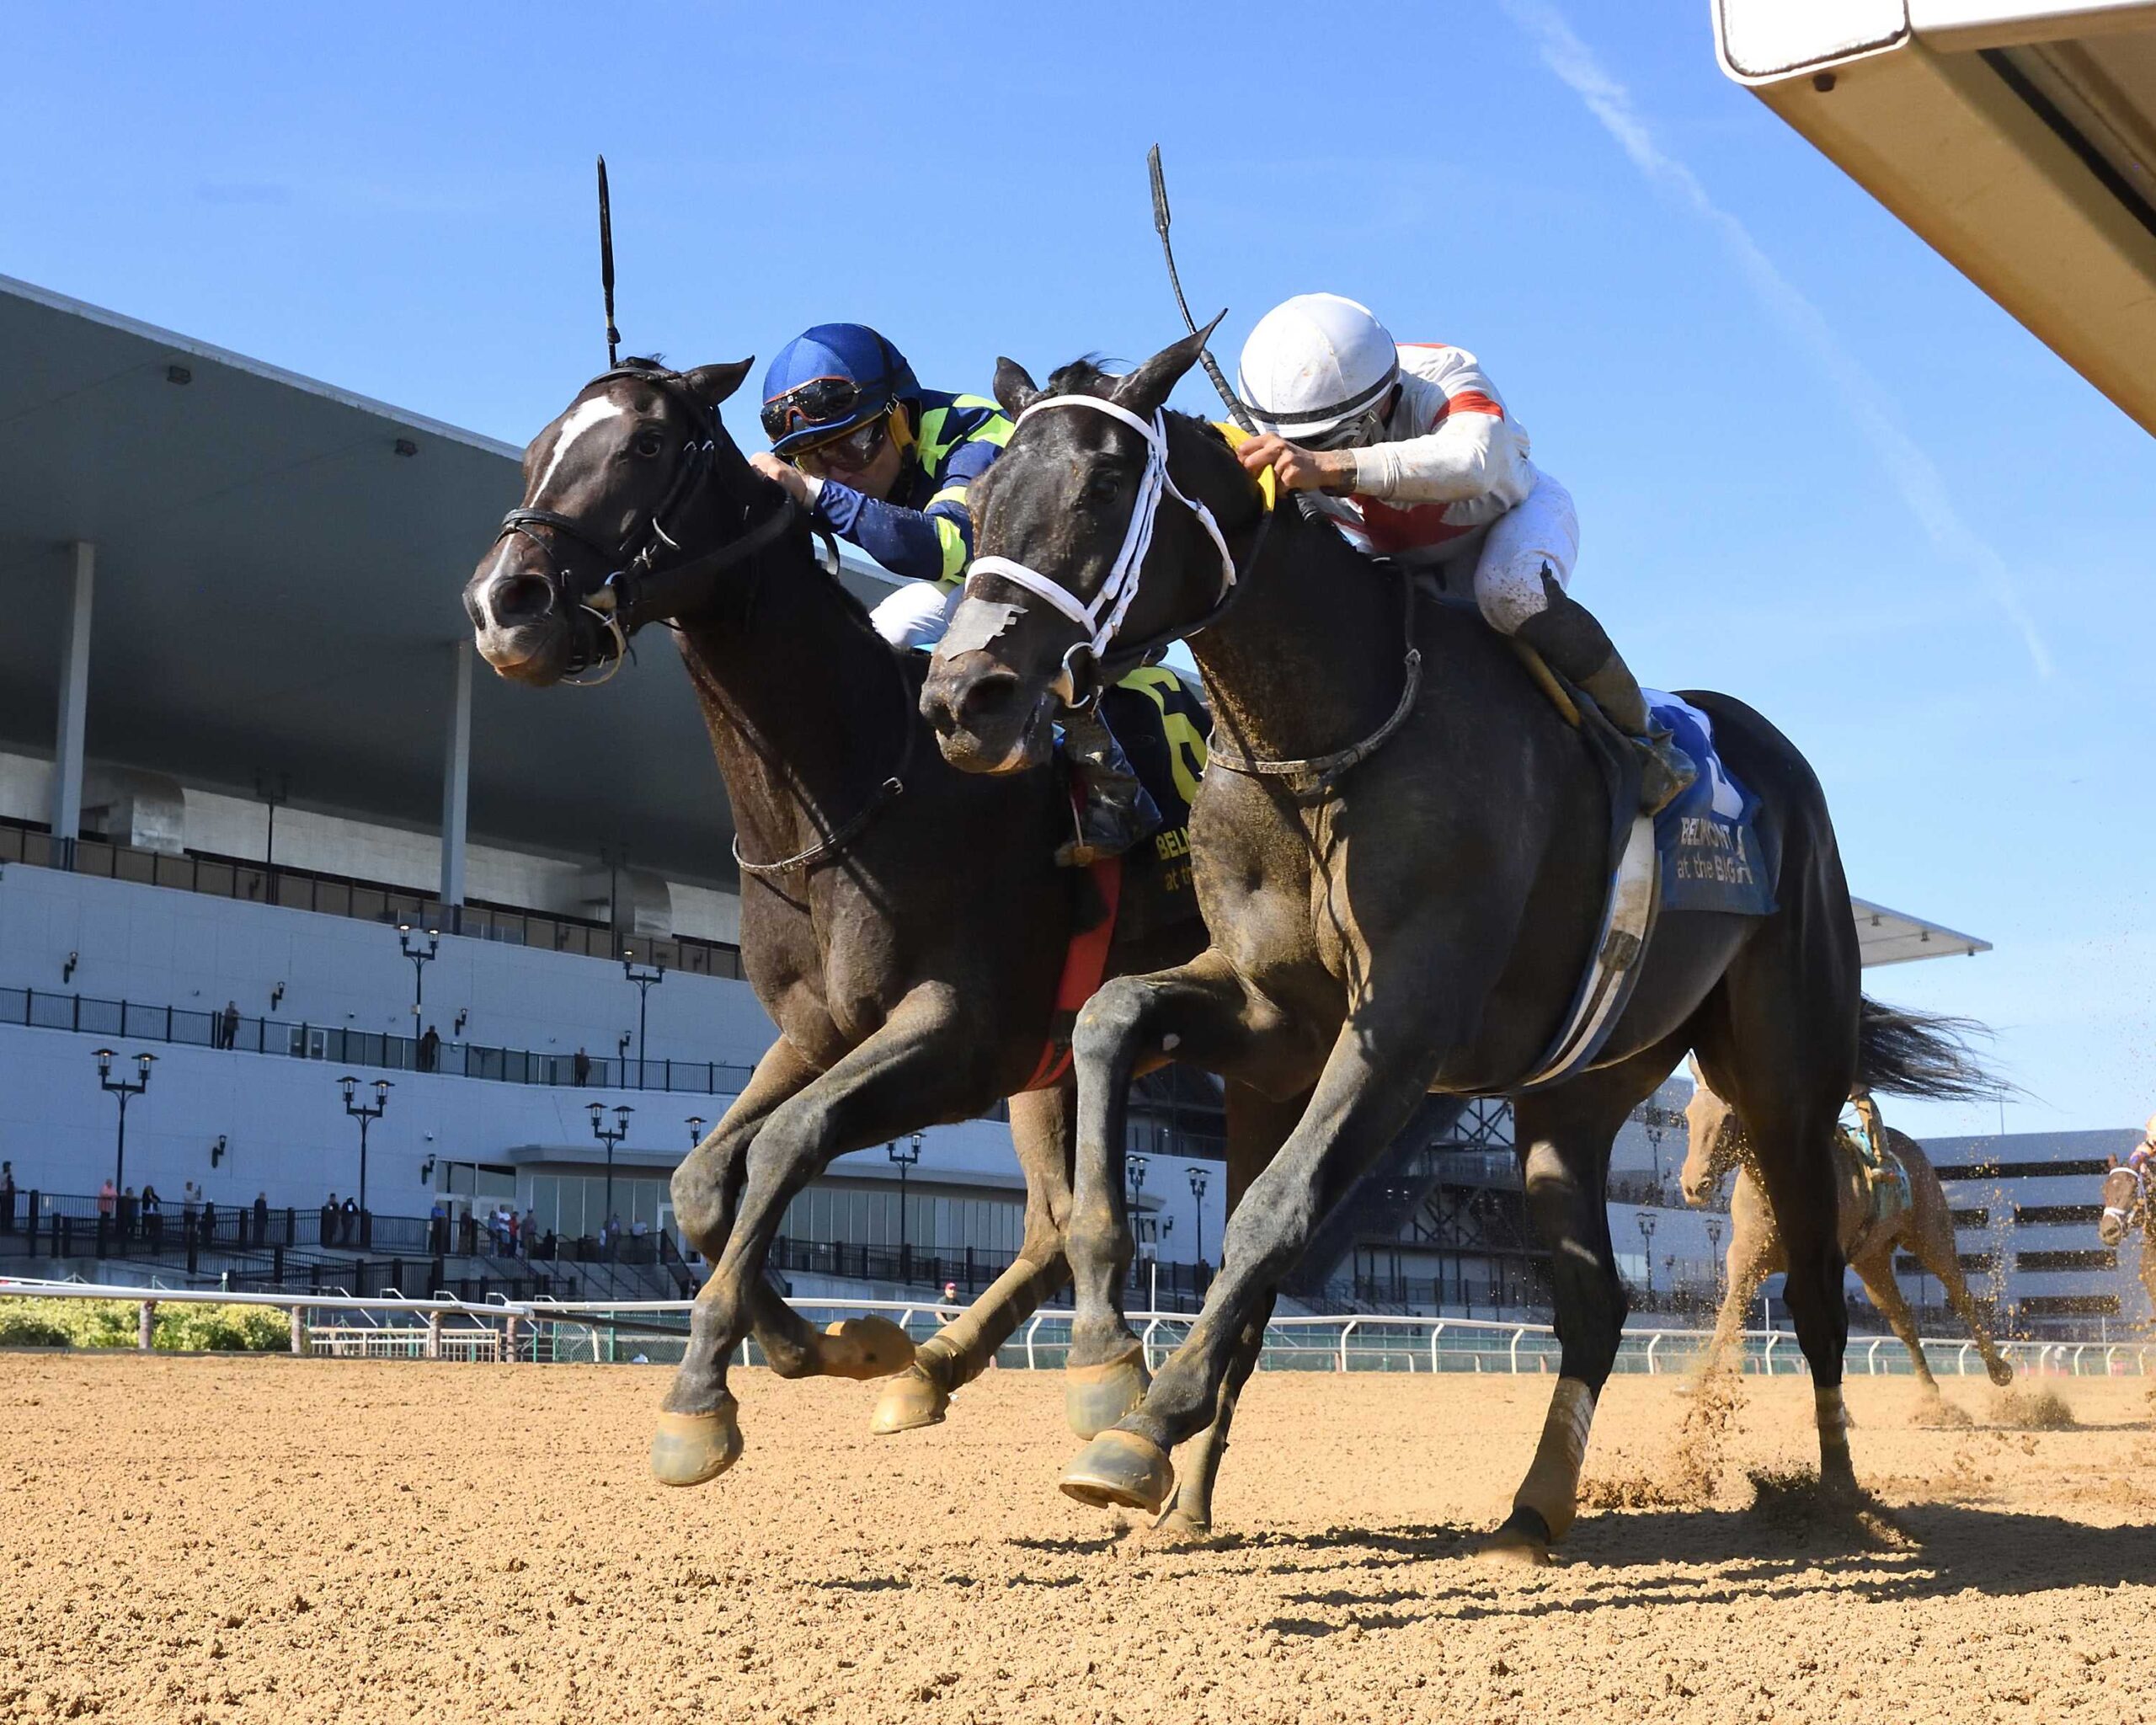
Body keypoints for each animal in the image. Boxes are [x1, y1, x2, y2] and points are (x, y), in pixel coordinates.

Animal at [462, 355, 1277, 1503]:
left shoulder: (958, 1035)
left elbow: (786, 1143)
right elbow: (701, 1182)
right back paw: (956, 1370)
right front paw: (834, 1343)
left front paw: (704, 1396)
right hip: (1051, 1065)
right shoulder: (822, 1029)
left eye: (646, 445)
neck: (848, 793)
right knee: (1048, 1223)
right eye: (538, 445)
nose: (505, 603)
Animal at [919, 326, 1974, 1560]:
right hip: (1577, 1091)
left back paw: (1842, 1499)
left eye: (1099, 488)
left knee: (1813, 1290)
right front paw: (1110, 1380)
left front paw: (1145, 1428)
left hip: (1785, 1075)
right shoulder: (1274, 1014)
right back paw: (1533, 1508)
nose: (965, 698)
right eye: (983, 495)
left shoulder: (1405, 1023)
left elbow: (1274, 1211)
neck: (1325, 742)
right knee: (1595, 1300)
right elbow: (1107, 1020)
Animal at [1680, 1060, 2012, 1389]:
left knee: (1961, 1294)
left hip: (1931, 1234)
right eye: (1689, 1114)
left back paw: (1999, 1370)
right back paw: (1930, 1391)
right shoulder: (1747, 1259)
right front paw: (1697, 1384)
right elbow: (1729, 1315)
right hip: (1871, 1260)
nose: (1695, 1185)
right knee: (1901, 1317)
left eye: (1728, 1117)